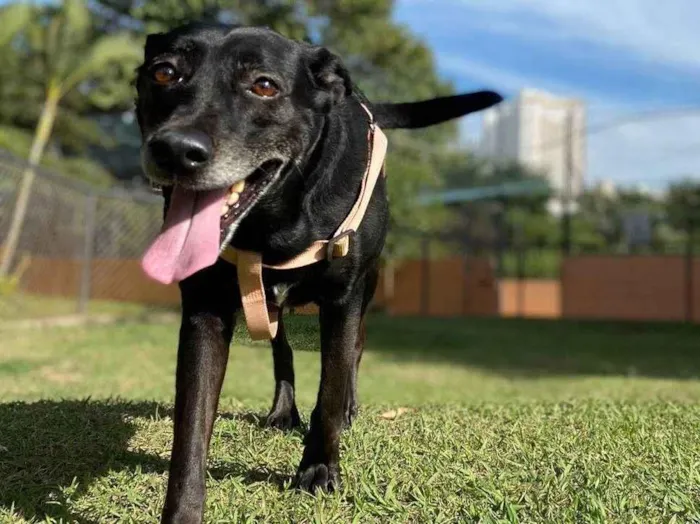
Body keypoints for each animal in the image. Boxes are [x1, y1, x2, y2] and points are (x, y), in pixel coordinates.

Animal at [133, 22, 504, 520]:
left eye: (263, 85)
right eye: (163, 73)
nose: (174, 150)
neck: (273, 224)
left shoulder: (343, 300)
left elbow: (331, 386)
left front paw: (320, 469)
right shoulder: (204, 311)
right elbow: (191, 426)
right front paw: (183, 511)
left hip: (365, 289)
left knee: (353, 354)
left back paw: (346, 410)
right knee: (283, 351)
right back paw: (282, 412)